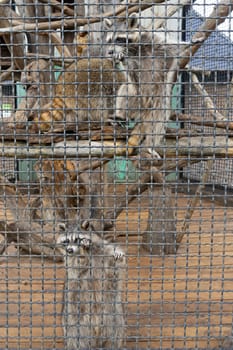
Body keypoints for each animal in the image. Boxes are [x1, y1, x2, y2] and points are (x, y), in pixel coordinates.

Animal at [104, 14, 184, 153]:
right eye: (109, 41)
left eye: (119, 39)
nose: (110, 52)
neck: (133, 48)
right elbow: (131, 75)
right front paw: (121, 58)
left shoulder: (154, 40)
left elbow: (173, 48)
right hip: (136, 98)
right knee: (126, 91)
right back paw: (121, 115)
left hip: (158, 98)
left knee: (158, 117)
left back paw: (150, 145)